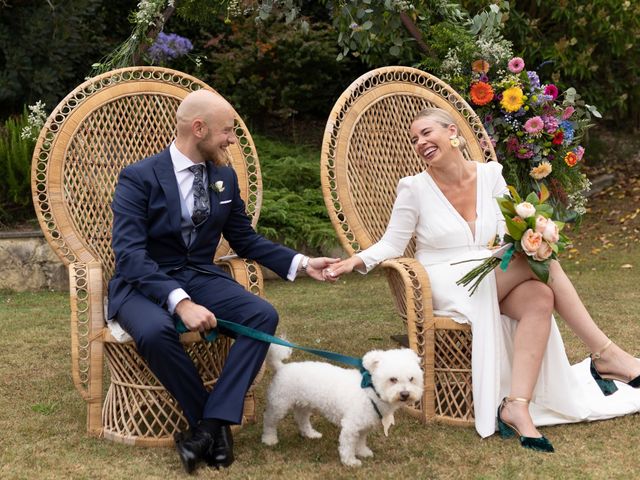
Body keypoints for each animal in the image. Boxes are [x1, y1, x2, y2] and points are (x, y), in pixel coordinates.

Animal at [262, 344, 424, 466]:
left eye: (411, 379)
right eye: (393, 379)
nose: (405, 394)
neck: (370, 392)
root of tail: (282, 367)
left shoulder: (363, 426)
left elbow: (360, 441)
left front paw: (362, 452)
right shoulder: (350, 427)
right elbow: (348, 445)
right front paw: (350, 461)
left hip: (304, 404)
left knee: (302, 419)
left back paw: (309, 433)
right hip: (279, 403)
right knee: (269, 420)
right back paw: (269, 439)